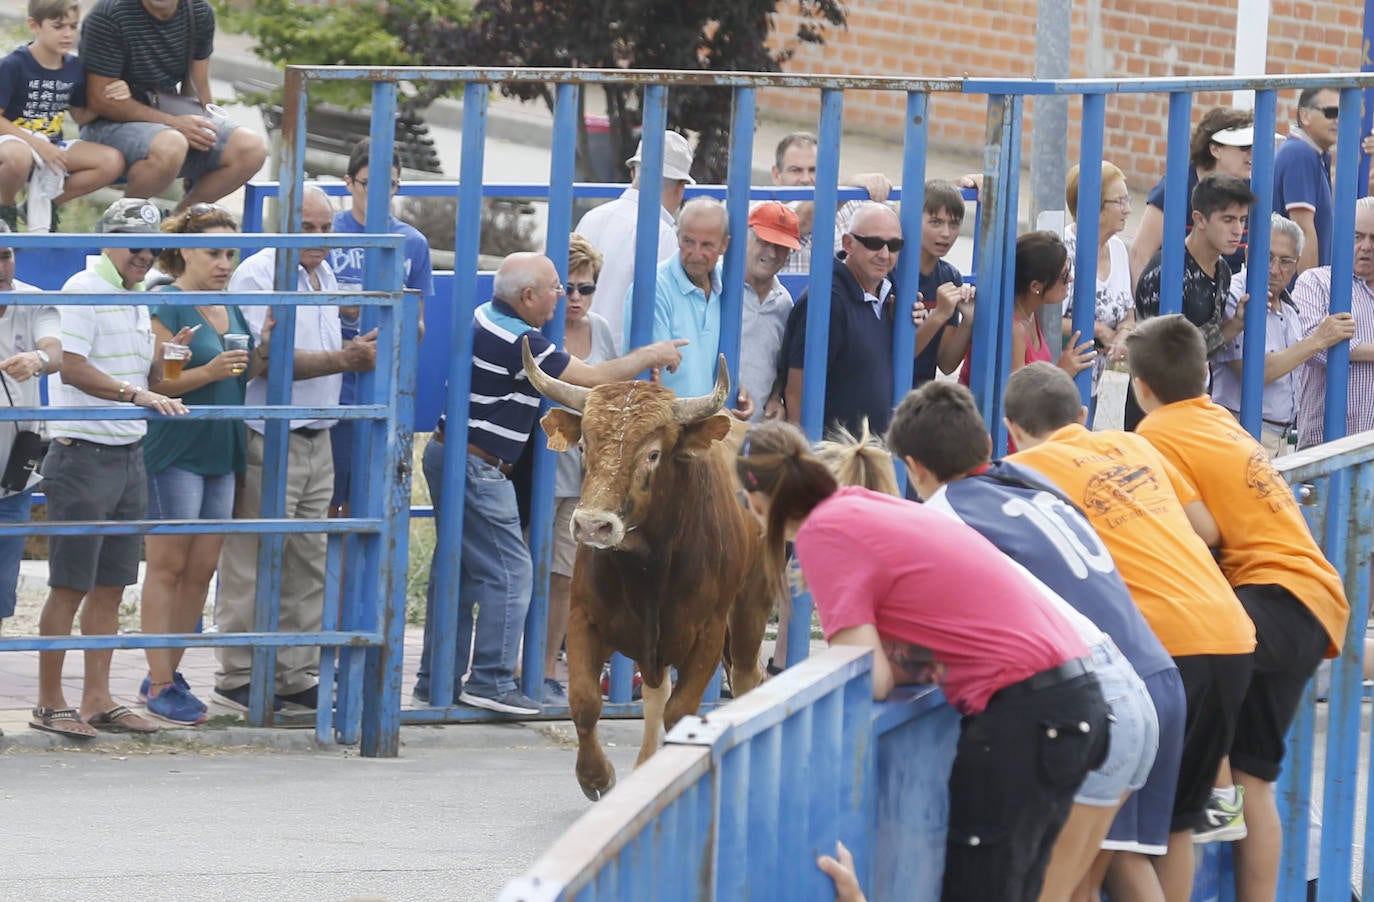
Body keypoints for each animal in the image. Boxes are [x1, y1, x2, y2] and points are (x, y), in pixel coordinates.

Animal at [524, 342, 780, 797]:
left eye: (653, 453)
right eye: (584, 447)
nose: (592, 524)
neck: (648, 566)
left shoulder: (708, 634)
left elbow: (682, 712)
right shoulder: (585, 620)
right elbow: (586, 701)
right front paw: (597, 776)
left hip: (750, 611)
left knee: (747, 678)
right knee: (656, 693)